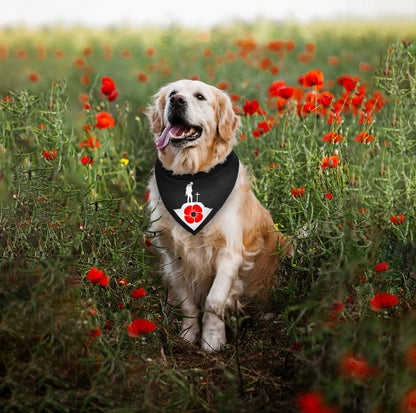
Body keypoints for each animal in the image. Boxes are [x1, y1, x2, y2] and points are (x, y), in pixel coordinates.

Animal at [147, 78, 290, 350]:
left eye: (200, 97)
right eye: (172, 93)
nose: (176, 101)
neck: (191, 173)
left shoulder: (230, 253)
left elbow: (214, 300)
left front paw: (213, 340)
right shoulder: (174, 257)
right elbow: (187, 303)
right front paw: (188, 335)